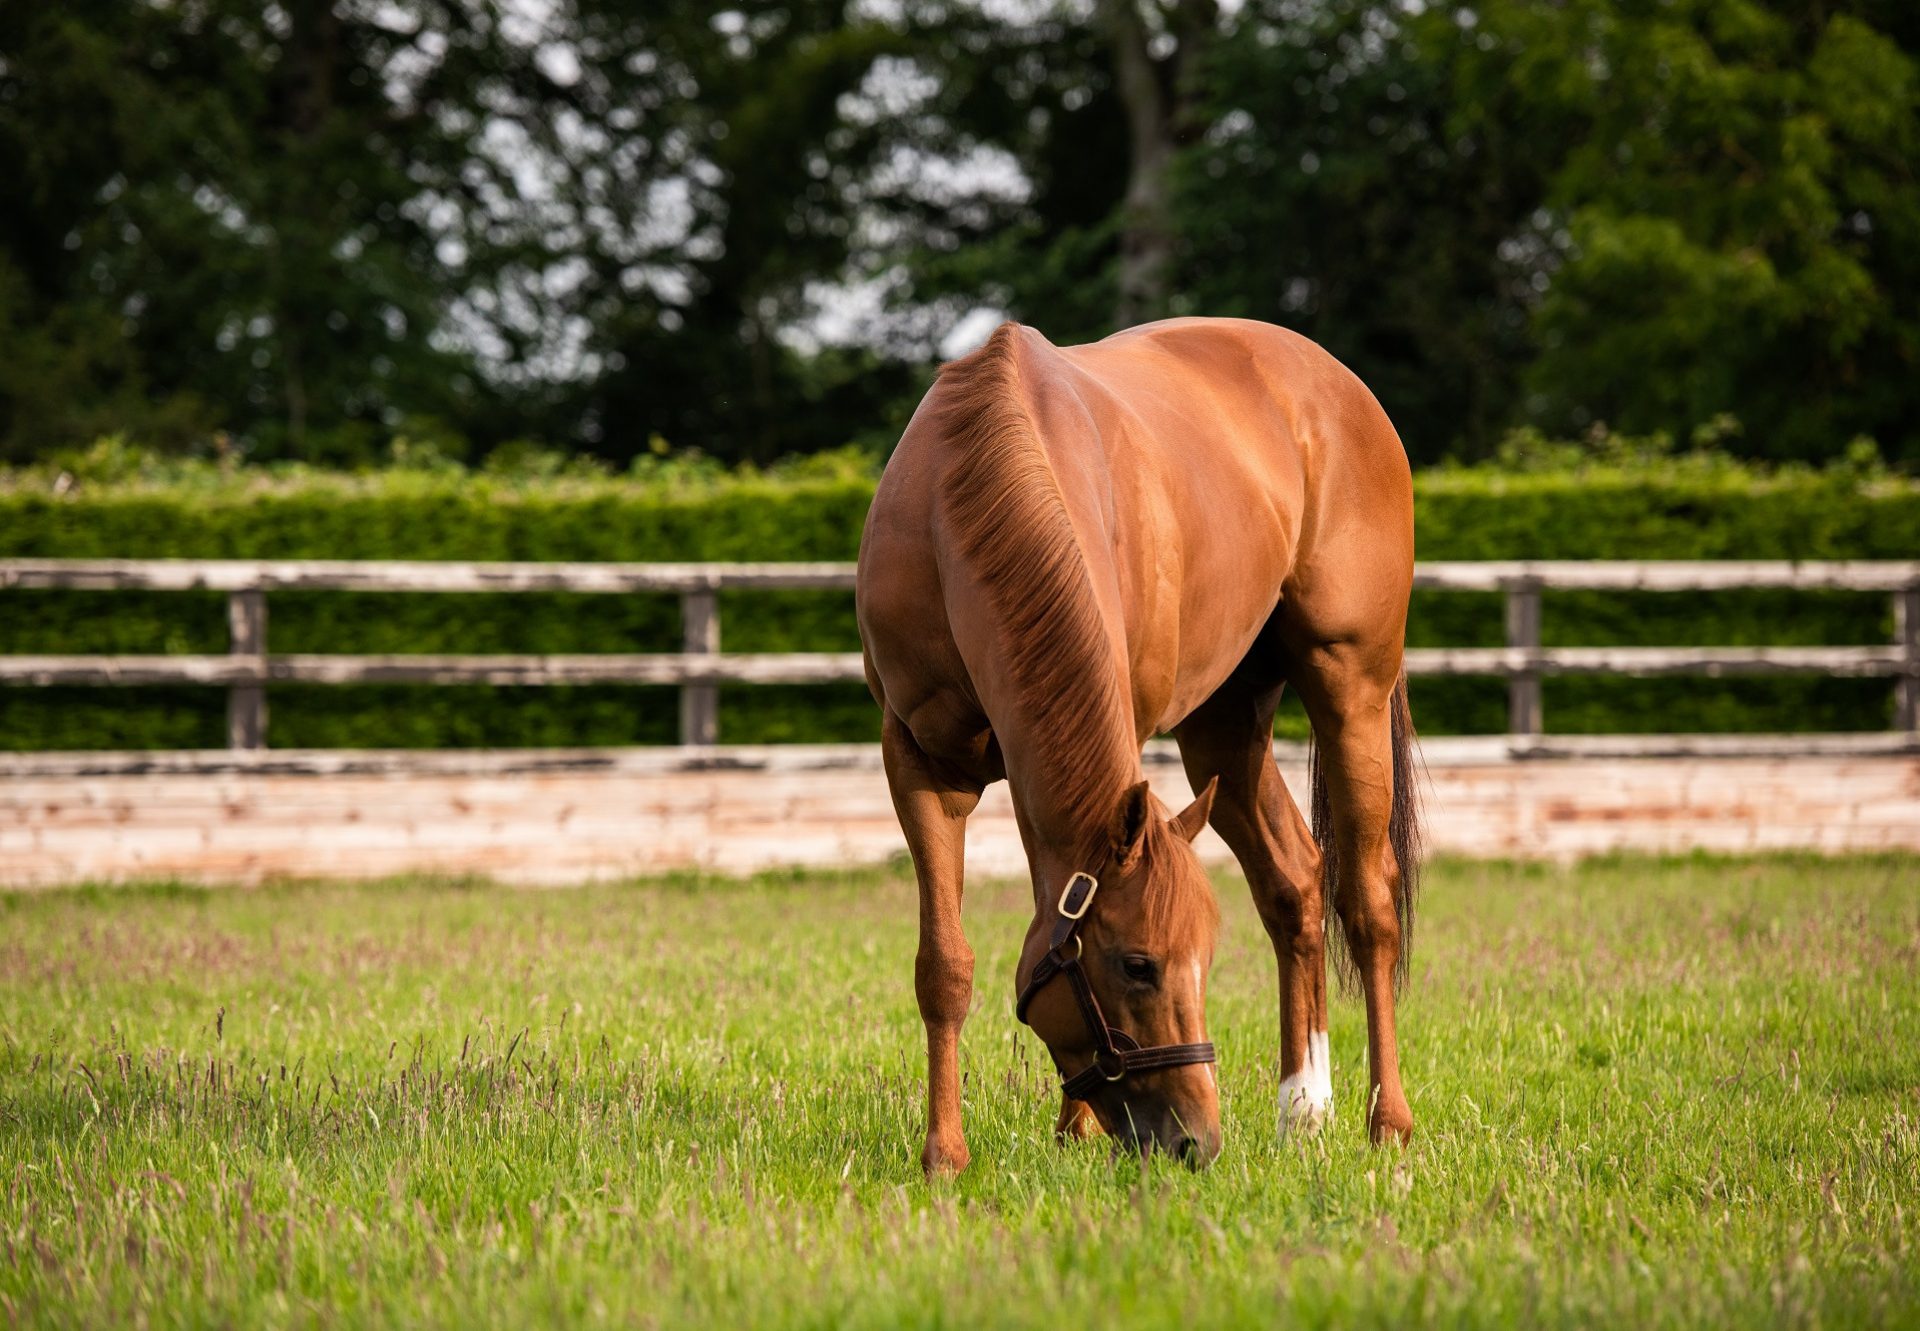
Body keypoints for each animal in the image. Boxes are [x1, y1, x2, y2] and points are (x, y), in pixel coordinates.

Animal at [864, 316, 1420, 1167]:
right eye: (1139, 964)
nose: (1197, 1138)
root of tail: (1339, 385)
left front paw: (1073, 1130)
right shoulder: (920, 760)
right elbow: (944, 965)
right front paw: (945, 1155)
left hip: (1350, 685)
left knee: (1366, 901)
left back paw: (1385, 1119)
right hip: (1225, 723)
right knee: (1294, 880)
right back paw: (1302, 1108)